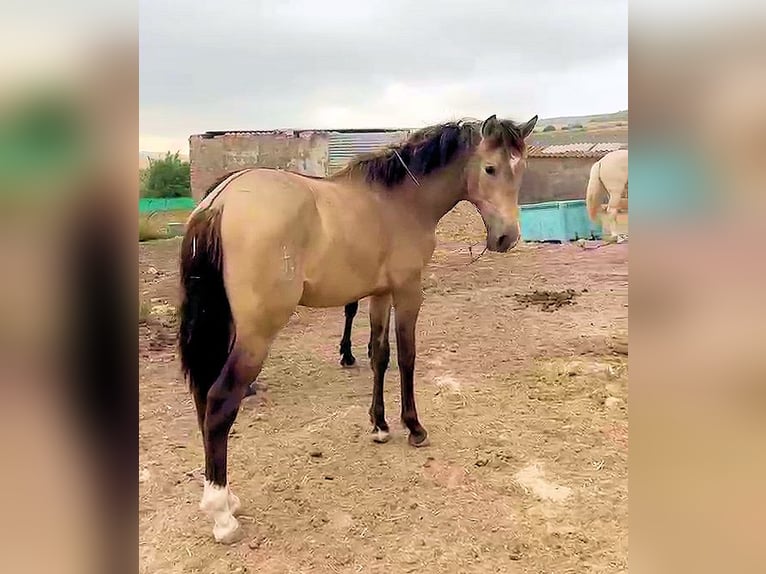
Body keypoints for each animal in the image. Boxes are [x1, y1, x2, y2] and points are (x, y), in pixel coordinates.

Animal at [179, 113, 538, 543]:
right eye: (490, 168)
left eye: (521, 168)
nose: (506, 237)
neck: (399, 201)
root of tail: (221, 199)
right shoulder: (408, 290)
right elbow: (406, 356)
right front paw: (414, 427)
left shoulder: (379, 294)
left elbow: (379, 355)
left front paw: (380, 425)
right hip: (255, 335)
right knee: (219, 403)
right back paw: (222, 514)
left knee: (204, 399)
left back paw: (227, 499)